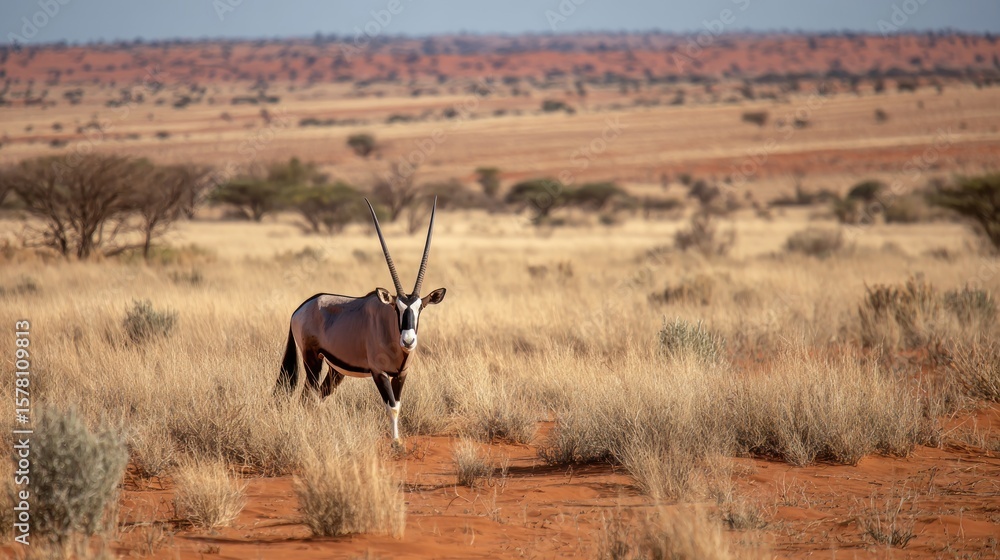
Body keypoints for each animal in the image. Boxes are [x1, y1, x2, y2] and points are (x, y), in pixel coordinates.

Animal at [275, 198, 446, 442]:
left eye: (420, 308)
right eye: (396, 308)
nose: (408, 340)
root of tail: (301, 308)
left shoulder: (401, 374)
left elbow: (398, 404)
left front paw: (398, 439)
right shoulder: (378, 372)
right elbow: (391, 406)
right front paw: (395, 443)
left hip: (334, 370)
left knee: (319, 396)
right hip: (312, 361)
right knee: (308, 397)